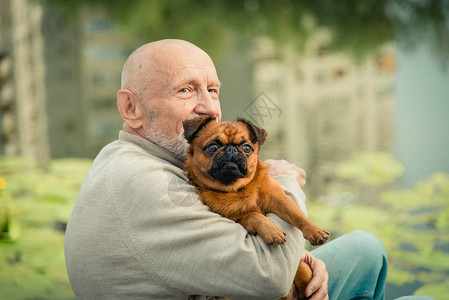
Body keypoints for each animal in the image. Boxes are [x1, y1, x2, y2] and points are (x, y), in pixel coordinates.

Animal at [183, 116, 328, 298]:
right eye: (213, 147)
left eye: (246, 148)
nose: (231, 149)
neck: (237, 189)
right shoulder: (236, 219)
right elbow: (253, 215)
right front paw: (271, 231)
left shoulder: (278, 199)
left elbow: (296, 214)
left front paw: (315, 230)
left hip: (304, 271)